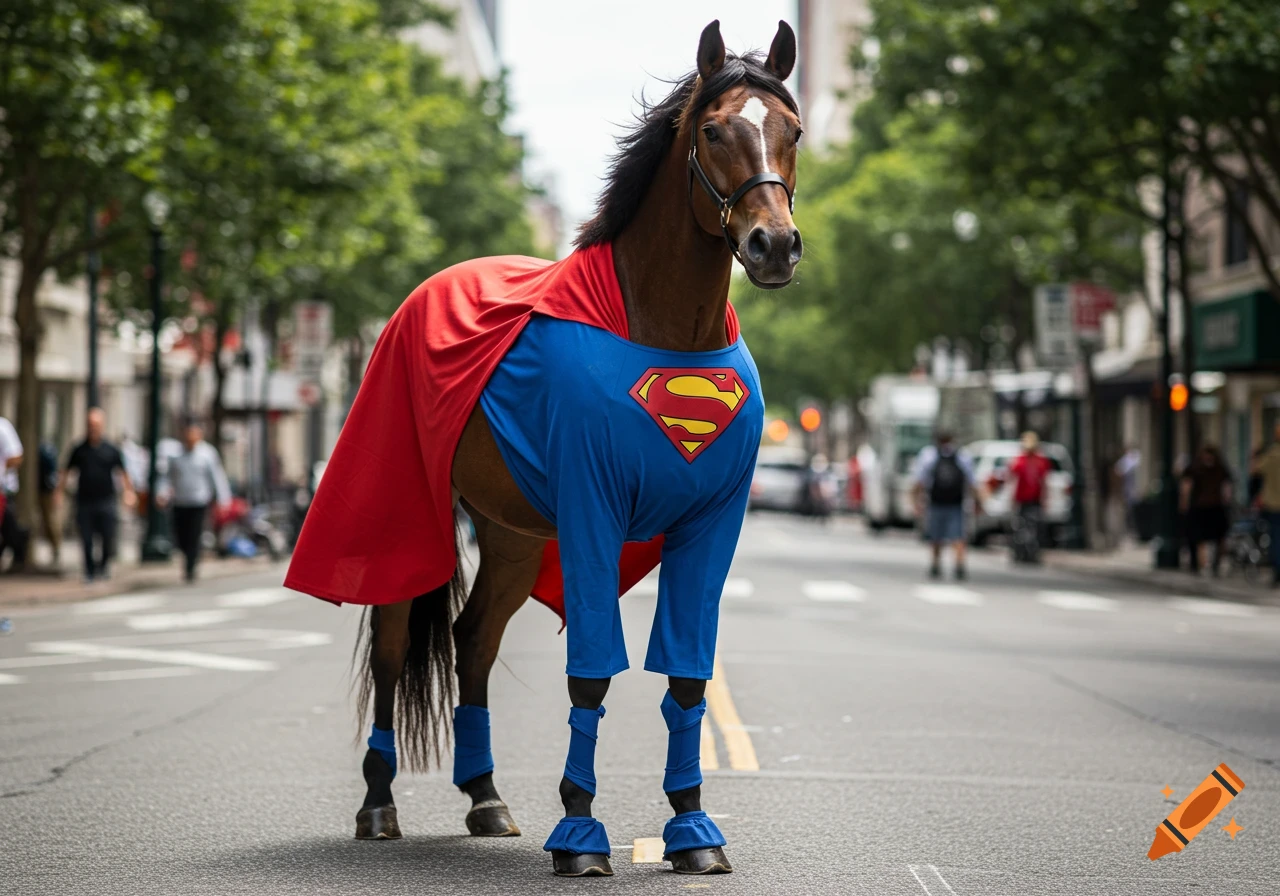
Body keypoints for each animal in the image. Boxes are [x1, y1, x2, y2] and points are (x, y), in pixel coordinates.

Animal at [286, 19, 802, 878]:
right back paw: (379, 805)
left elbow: (688, 679)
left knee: (472, 642)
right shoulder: (593, 511)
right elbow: (590, 677)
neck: (663, 330)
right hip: (411, 511)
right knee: (393, 644)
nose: (774, 246)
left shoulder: (710, 526)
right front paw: (581, 832)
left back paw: (485, 798)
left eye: (791, 131)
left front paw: (694, 828)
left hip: (515, 532)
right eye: (713, 131)